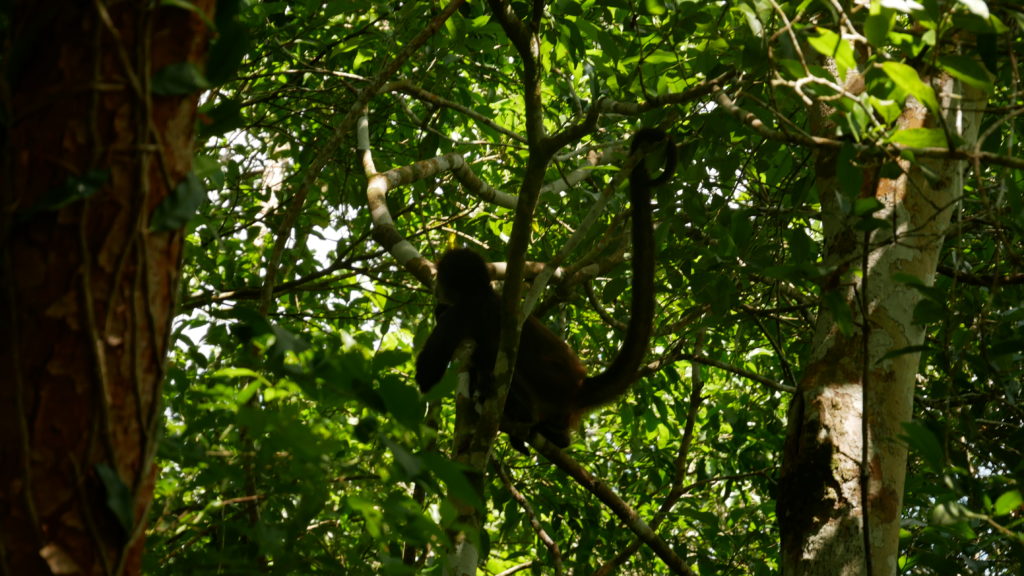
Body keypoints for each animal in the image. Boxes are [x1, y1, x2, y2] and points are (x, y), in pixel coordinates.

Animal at [411, 129, 675, 448]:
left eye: (443, 281)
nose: (438, 289)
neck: (483, 293)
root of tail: (578, 385)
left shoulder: (463, 312)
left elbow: (427, 372)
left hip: (547, 385)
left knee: (489, 359)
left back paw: (522, 414)